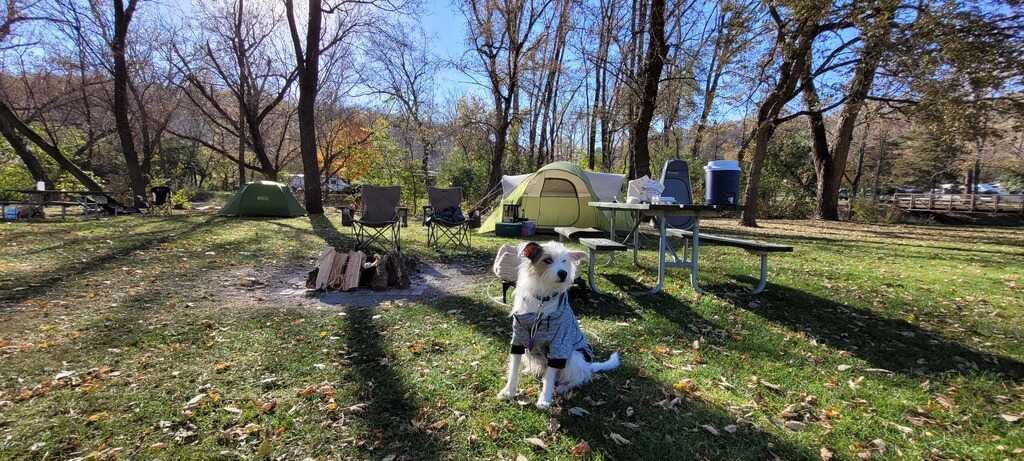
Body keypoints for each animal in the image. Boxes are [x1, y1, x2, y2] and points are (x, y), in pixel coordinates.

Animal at [493, 239, 614, 409]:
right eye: (548, 260)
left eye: (564, 261)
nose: (563, 273)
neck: (542, 302)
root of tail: (587, 364)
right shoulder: (518, 340)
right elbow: (514, 369)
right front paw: (509, 391)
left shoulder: (557, 347)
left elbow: (550, 377)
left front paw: (544, 399)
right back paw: (530, 371)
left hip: (573, 357)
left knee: (581, 376)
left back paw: (564, 386)